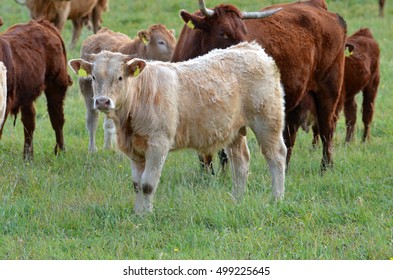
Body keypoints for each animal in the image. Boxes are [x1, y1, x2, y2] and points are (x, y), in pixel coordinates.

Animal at [0, 19, 71, 160]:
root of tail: (42, 23)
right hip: (27, 90)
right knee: (29, 121)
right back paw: (28, 156)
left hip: (57, 84)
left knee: (57, 118)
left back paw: (60, 151)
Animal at [69, 41, 286, 213]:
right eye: (94, 77)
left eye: (120, 77)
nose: (102, 101)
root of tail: (251, 47)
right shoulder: (135, 150)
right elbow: (137, 184)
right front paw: (137, 213)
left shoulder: (158, 144)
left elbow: (147, 184)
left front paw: (147, 216)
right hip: (234, 130)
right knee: (240, 162)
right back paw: (237, 200)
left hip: (268, 121)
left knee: (276, 156)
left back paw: (276, 199)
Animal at [172, 0, 346, 172]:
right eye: (223, 33)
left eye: (245, 32)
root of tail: (318, 6)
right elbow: (204, 153)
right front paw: (207, 174)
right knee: (290, 135)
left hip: (328, 90)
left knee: (326, 129)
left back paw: (326, 167)